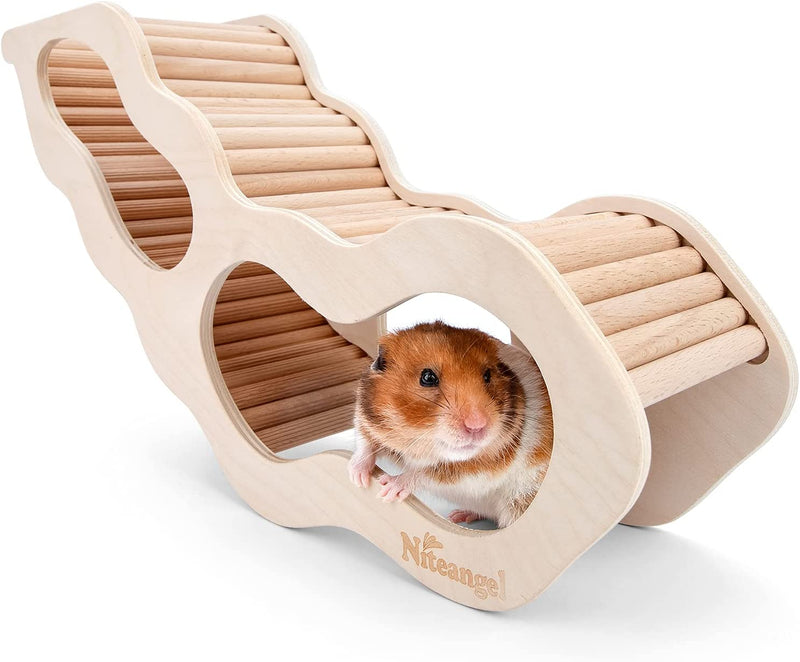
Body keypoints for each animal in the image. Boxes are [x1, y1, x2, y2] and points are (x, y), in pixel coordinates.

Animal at [347, 321, 553, 528]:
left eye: (488, 376)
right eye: (427, 377)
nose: (477, 426)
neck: (421, 446)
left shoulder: (476, 472)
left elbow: (424, 473)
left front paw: (387, 489)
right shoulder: (366, 419)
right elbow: (365, 443)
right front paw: (357, 478)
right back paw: (459, 515)